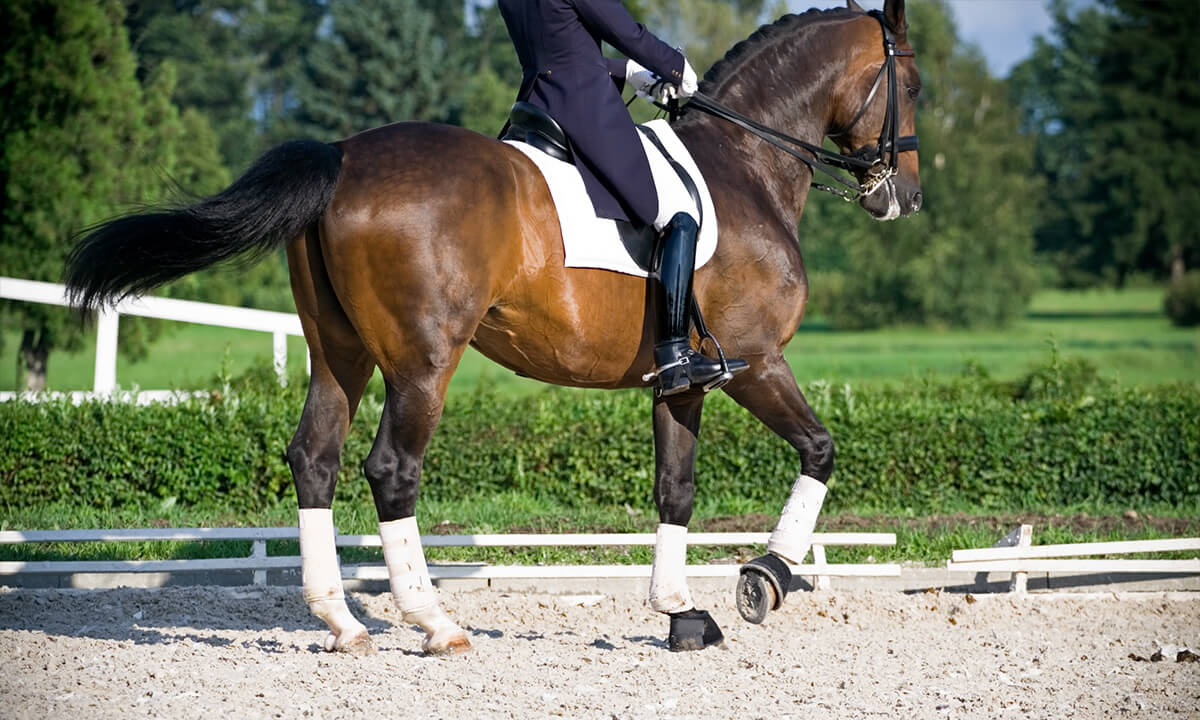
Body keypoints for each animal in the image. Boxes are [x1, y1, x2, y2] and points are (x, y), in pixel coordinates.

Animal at [65, 0, 921, 654]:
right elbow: (820, 450)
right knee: (391, 470)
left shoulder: (683, 382)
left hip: (339, 351)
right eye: (910, 82)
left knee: (315, 458)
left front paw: (681, 614)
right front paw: (763, 581)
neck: (746, 159)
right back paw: (436, 624)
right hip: (423, 361)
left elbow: (675, 489)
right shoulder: (755, 359)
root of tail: (342, 156)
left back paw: (344, 625)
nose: (902, 197)